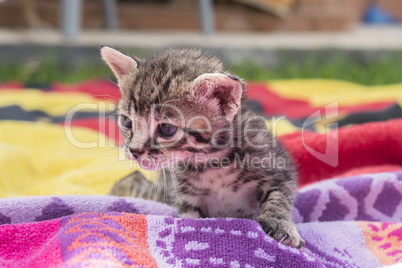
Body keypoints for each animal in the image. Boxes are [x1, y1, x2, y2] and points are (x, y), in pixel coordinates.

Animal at [101, 46, 304, 249]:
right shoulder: (185, 198)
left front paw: (279, 223)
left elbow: (280, 195)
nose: (134, 151)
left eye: (167, 129)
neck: (211, 161)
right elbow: (190, 219)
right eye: (126, 122)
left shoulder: (278, 165)